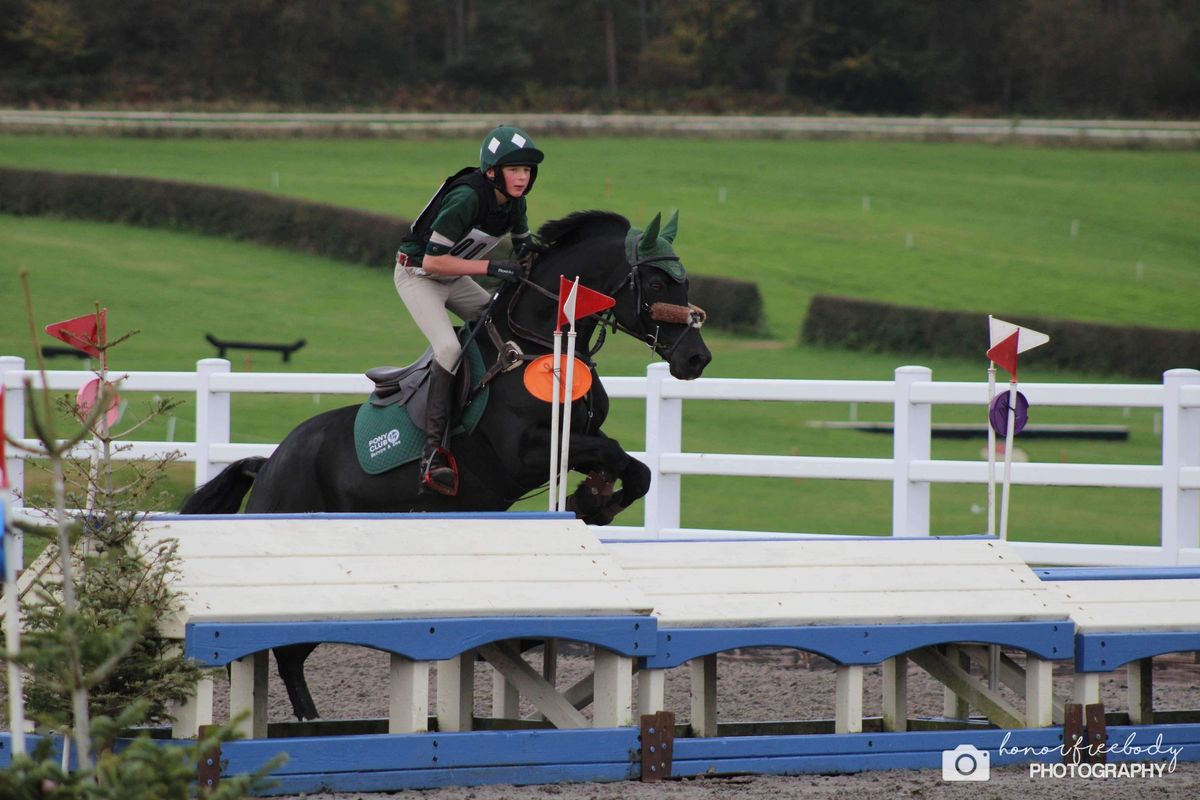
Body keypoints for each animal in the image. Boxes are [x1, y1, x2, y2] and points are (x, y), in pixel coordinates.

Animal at [181, 208, 705, 719]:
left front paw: (594, 499)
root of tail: (269, 463)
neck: (536, 342)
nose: (697, 359)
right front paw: (590, 498)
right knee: (281, 653)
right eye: (657, 284)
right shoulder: (525, 453)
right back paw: (309, 729)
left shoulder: (579, 437)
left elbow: (637, 470)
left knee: (290, 656)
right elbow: (612, 453)